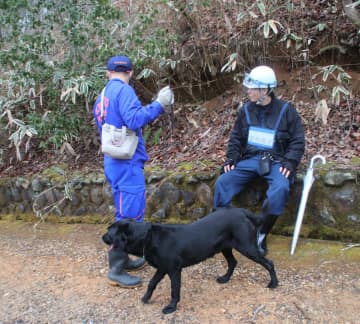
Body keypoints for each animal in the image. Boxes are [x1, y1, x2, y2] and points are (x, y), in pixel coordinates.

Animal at [101, 208, 278, 314]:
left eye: (109, 231)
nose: (102, 237)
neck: (148, 237)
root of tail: (241, 212)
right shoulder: (162, 268)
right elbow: (152, 283)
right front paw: (146, 298)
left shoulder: (174, 270)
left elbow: (174, 290)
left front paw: (171, 307)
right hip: (226, 248)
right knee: (233, 262)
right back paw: (225, 278)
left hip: (247, 247)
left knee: (269, 263)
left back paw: (273, 283)